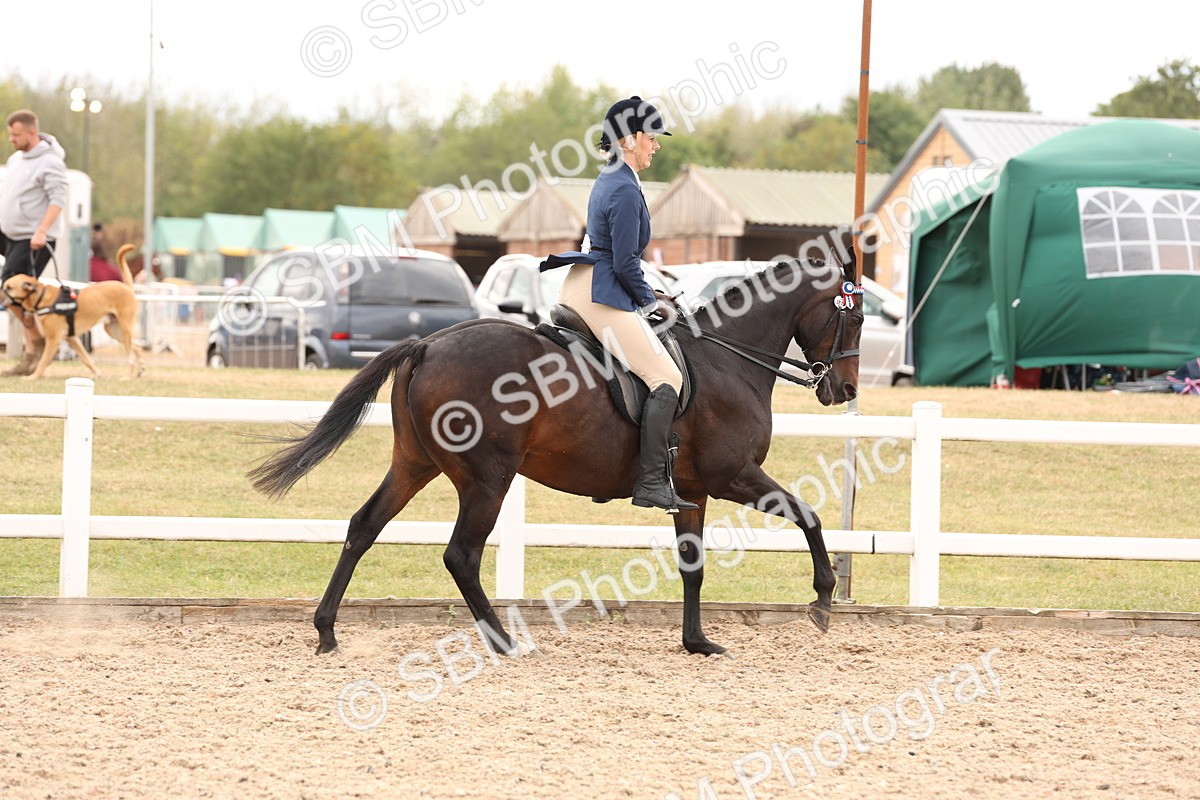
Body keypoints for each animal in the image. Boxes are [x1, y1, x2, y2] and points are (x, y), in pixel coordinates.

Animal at [249, 258, 863, 655]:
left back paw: (327, 631)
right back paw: (503, 642)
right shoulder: (733, 476)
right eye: (853, 318)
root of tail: (428, 343)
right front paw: (823, 601)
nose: (846, 390)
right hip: (487, 479)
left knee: (364, 526)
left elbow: (693, 565)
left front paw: (697, 643)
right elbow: (808, 515)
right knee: (461, 555)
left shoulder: (692, 488)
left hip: (414, 465)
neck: (729, 361)